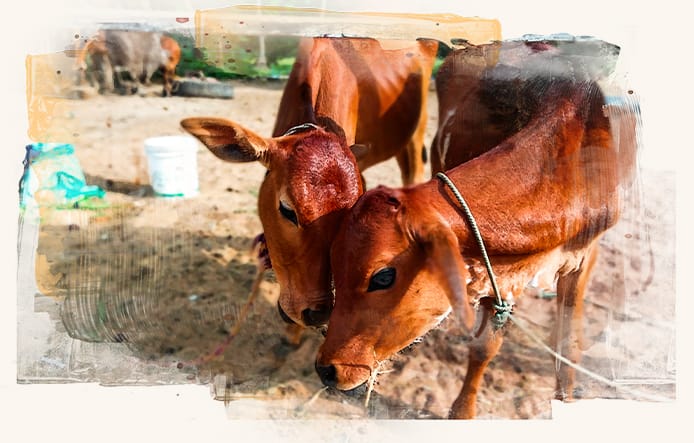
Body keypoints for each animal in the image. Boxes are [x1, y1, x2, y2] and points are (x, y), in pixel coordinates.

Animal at [314, 40, 637, 419]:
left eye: (382, 277)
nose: (326, 368)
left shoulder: (583, 257)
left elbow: (566, 341)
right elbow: (485, 346)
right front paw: (463, 412)